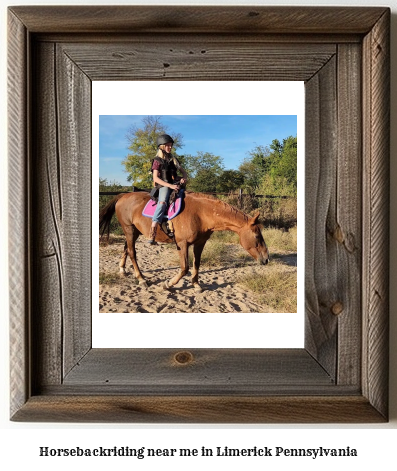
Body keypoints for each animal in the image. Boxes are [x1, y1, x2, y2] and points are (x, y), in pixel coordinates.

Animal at [100, 191, 270, 292]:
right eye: (257, 236)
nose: (266, 259)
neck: (201, 214)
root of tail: (123, 195)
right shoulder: (182, 244)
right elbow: (184, 268)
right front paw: (168, 284)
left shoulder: (200, 243)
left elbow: (196, 264)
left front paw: (196, 284)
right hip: (129, 230)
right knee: (132, 252)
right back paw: (141, 279)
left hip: (134, 231)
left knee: (126, 249)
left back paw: (122, 269)